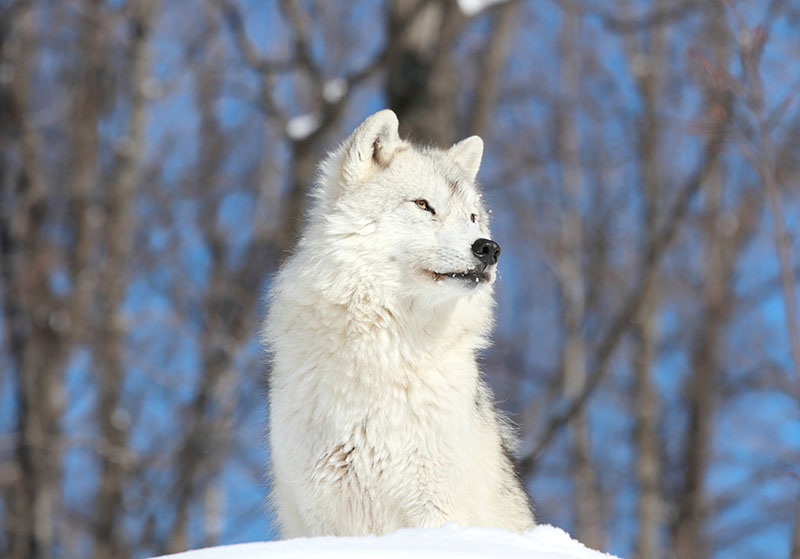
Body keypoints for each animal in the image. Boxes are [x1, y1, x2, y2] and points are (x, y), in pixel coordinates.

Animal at [266, 108, 536, 540]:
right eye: (424, 205)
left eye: (473, 217)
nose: (489, 249)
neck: (386, 345)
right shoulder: (322, 514)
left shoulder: (434, 507)